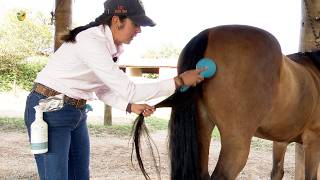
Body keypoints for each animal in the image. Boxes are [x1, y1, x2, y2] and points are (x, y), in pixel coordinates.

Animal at [131, 25, 320, 180]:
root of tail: (207, 34)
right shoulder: (313, 139)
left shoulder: (280, 141)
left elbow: (277, 172)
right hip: (237, 143)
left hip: (203, 129)